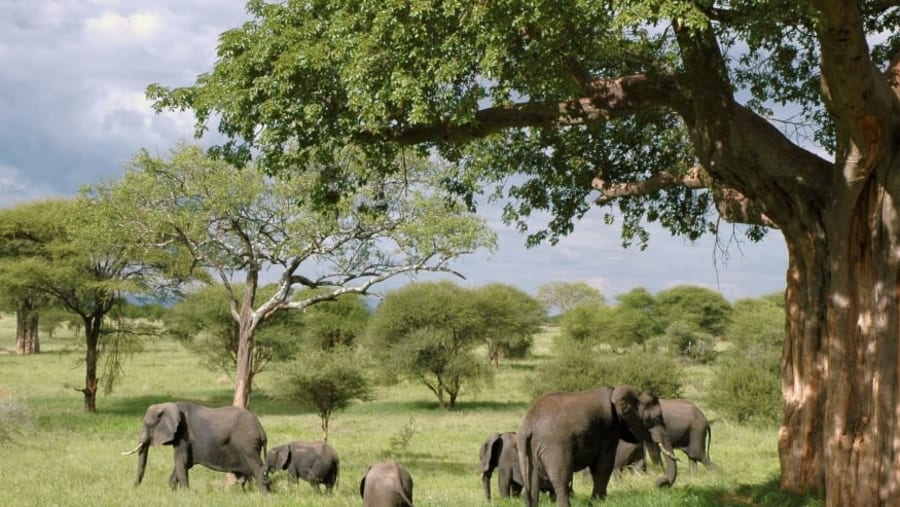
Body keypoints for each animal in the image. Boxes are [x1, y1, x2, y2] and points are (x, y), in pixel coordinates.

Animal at [121, 401, 271, 492]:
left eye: (147, 425)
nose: (134, 488)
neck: (170, 405)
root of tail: (261, 429)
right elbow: (184, 463)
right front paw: (173, 491)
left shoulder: (183, 435)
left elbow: (180, 460)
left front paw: (185, 493)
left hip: (248, 445)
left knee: (257, 467)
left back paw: (265, 494)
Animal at [517, 385, 678, 506]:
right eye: (654, 419)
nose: (660, 483)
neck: (616, 392)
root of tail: (528, 426)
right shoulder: (609, 428)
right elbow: (604, 464)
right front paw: (598, 502)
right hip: (556, 447)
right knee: (561, 479)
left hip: (528, 450)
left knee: (533, 483)